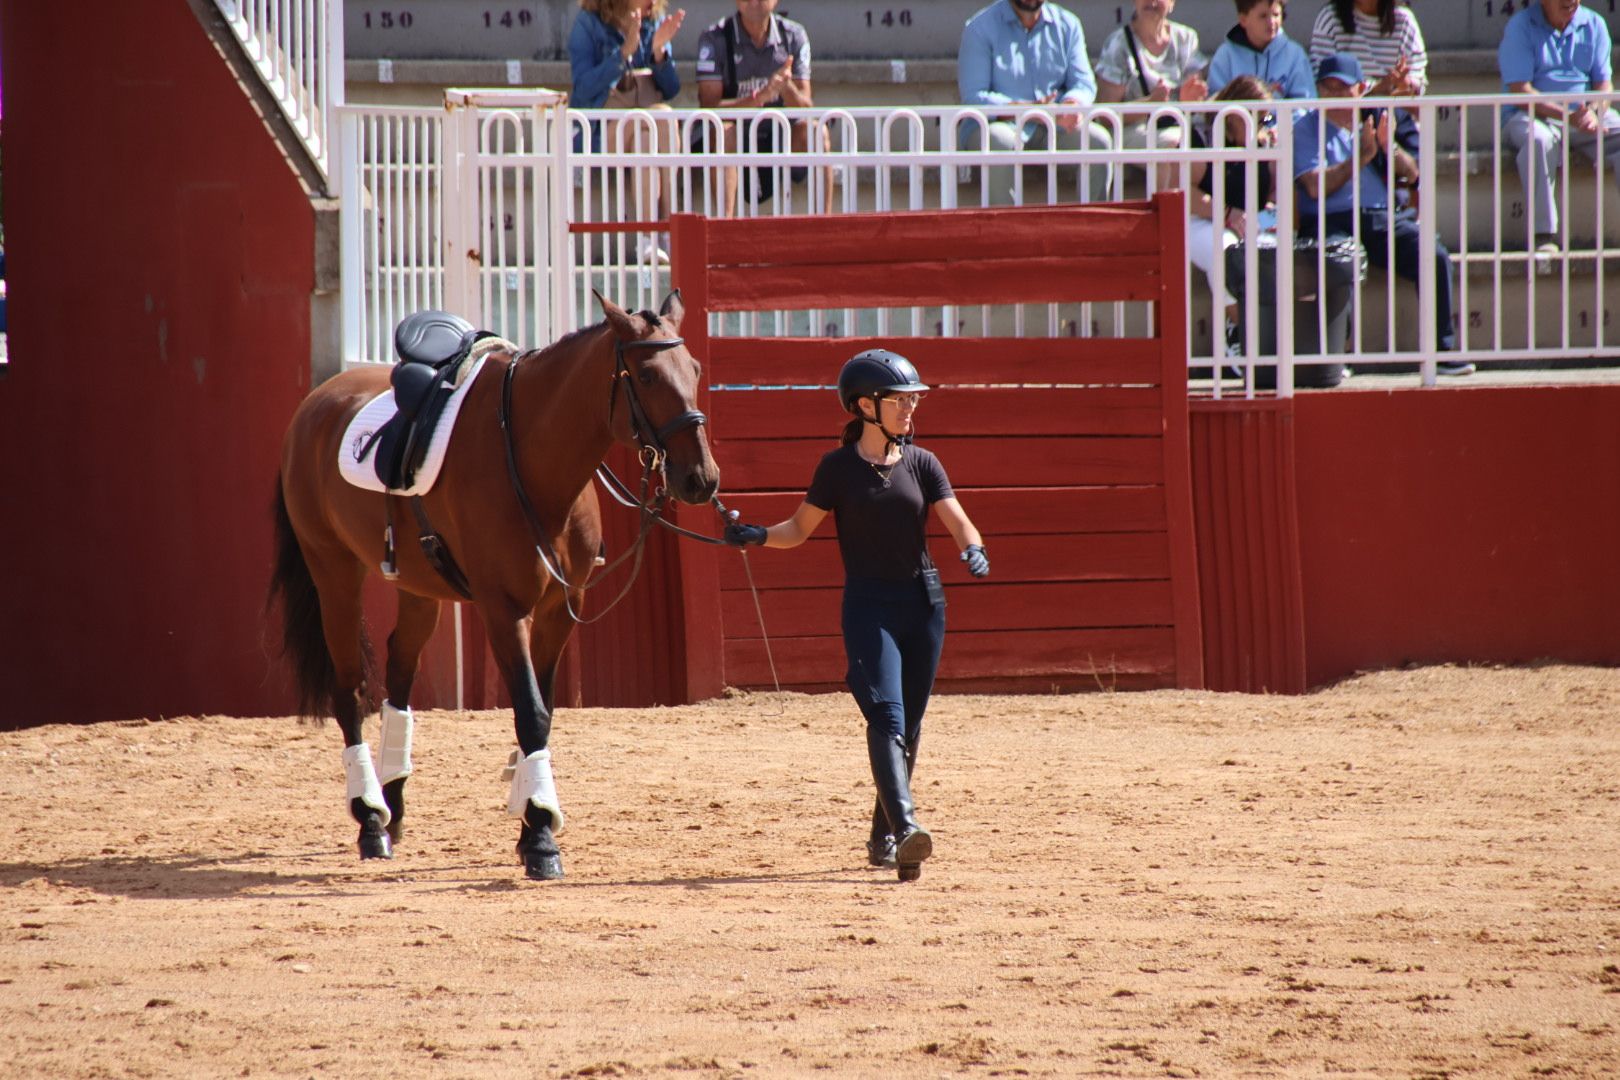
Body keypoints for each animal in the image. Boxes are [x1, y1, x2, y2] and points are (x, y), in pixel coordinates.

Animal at [268, 289, 719, 880]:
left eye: (694, 369)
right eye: (645, 376)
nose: (702, 479)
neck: (532, 461)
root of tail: (314, 404)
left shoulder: (559, 609)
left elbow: (542, 714)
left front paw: (533, 821)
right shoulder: (504, 612)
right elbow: (530, 712)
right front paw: (542, 840)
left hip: (419, 589)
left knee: (399, 673)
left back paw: (394, 806)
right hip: (334, 572)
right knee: (350, 690)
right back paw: (369, 819)